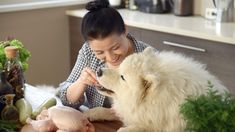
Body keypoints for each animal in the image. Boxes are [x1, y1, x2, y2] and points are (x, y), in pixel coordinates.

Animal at [84, 47, 226, 131]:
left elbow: (138, 127)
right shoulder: (136, 110)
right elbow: (109, 111)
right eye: (119, 67)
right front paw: (90, 113)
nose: (99, 71)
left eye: (123, 77)